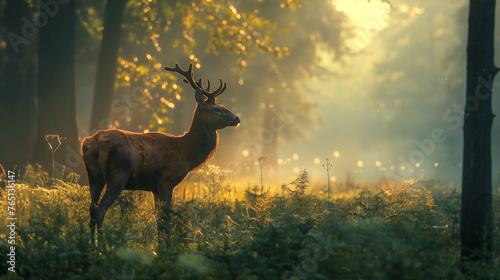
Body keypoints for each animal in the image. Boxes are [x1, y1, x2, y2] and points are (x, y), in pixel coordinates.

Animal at [81, 63, 241, 243]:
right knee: (100, 208)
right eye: (217, 109)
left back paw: (91, 244)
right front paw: (167, 247)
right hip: (118, 173)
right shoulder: (167, 181)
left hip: (94, 176)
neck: (185, 152)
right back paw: (101, 245)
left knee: (91, 208)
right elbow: (165, 219)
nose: (237, 118)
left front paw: (160, 246)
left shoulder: (155, 187)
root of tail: (94, 141)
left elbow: (159, 220)